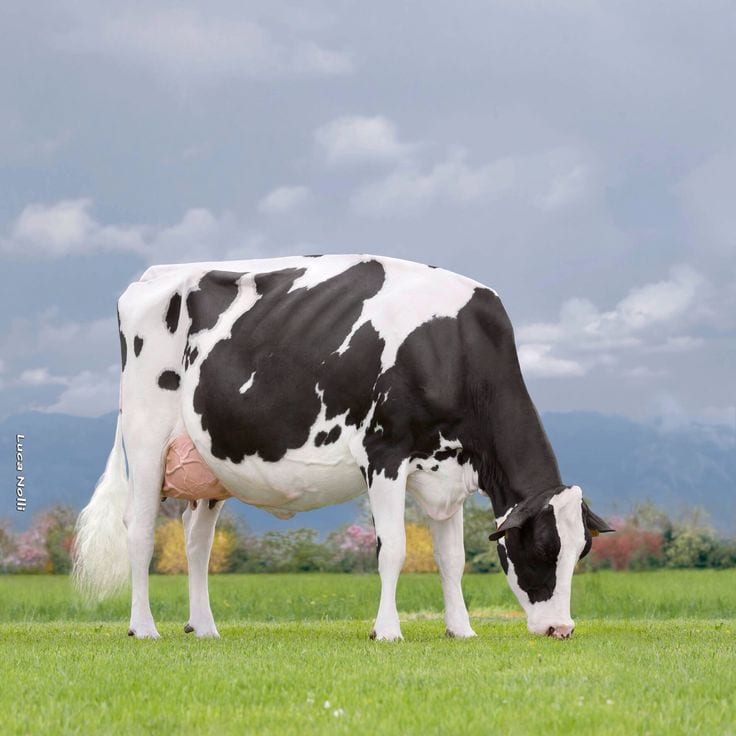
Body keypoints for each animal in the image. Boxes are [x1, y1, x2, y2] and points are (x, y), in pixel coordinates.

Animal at [73, 254, 612, 641]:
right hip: (145, 436)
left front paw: (461, 630)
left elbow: (451, 558)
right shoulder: (385, 454)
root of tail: (155, 273)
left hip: (208, 462)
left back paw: (204, 628)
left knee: (195, 542)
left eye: (581, 550)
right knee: (141, 531)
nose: (561, 628)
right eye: (541, 548)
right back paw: (144, 628)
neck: (453, 348)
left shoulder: (447, 470)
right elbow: (393, 548)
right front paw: (387, 631)